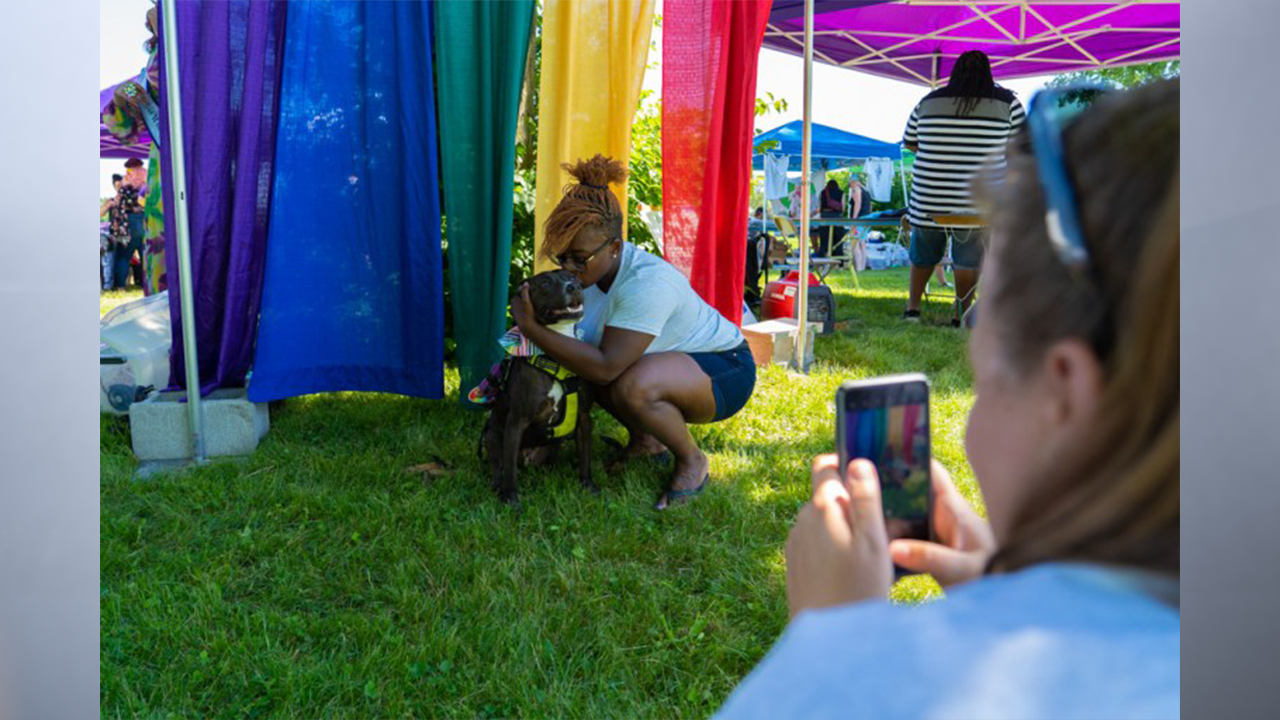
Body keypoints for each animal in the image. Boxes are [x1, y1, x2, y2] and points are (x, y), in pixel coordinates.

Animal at [481, 269, 599, 504]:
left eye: (573, 276)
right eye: (545, 283)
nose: (573, 286)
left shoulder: (583, 416)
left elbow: (585, 456)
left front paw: (587, 484)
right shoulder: (517, 420)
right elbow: (509, 469)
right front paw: (511, 498)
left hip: (553, 444)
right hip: (492, 437)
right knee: (499, 466)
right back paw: (497, 485)